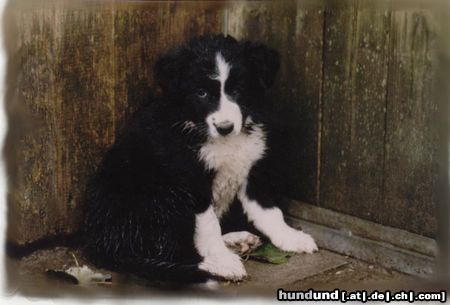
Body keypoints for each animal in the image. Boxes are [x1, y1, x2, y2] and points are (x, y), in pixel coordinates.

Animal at [82, 34, 318, 284]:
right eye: (202, 94)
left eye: (238, 90)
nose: (225, 127)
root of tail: (103, 243)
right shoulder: (191, 179)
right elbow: (208, 225)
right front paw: (220, 259)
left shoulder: (252, 169)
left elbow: (268, 210)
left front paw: (290, 237)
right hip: (162, 194)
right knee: (168, 251)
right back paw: (217, 264)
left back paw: (235, 241)